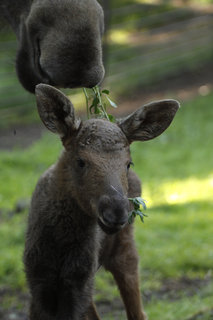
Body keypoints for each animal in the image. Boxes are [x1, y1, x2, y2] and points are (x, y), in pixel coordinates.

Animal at [24, 84, 179, 318]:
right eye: (80, 161)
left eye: (128, 163)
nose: (116, 212)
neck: (59, 247)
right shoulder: (39, 284)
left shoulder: (79, 284)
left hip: (123, 251)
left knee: (137, 311)